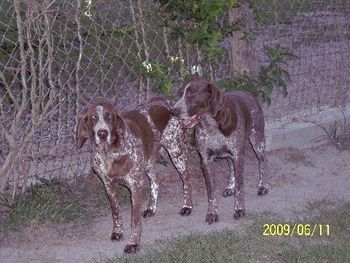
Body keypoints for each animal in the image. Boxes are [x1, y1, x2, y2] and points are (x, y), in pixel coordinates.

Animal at [77, 97, 193, 254]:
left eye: (109, 116)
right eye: (94, 117)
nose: (102, 133)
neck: (109, 153)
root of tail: (167, 102)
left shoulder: (135, 186)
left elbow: (135, 220)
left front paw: (133, 243)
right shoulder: (108, 186)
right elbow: (116, 212)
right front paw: (118, 232)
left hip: (177, 153)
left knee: (187, 180)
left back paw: (187, 206)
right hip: (149, 161)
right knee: (156, 181)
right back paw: (151, 208)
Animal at [172, 77, 268, 225]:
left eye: (192, 94)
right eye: (179, 93)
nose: (173, 111)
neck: (211, 125)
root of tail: (249, 94)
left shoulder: (238, 156)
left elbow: (240, 187)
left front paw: (239, 209)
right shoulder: (206, 161)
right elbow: (211, 192)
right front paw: (212, 213)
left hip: (258, 141)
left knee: (263, 162)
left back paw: (263, 186)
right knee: (230, 166)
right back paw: (229, 187)